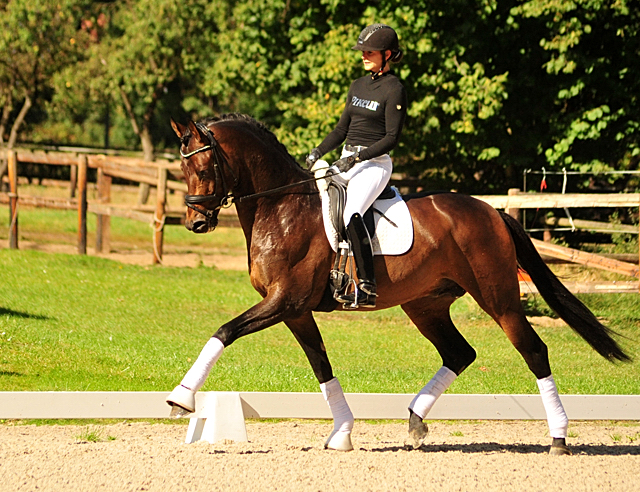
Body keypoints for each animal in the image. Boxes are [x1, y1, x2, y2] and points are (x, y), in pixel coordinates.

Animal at [166, 113, 632, 456]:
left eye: (204, 166)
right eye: (182, 167)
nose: (195, 223)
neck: (281, 207)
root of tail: (493, 212)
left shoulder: (285, 300)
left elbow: (224, 331)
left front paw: (182, 397)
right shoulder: (294, 310)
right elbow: (321, 366)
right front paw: (343, 433)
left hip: (498, 299)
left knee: (533, 350)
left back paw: (558, 438)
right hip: (425, 305)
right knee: (459, 353)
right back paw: (415, 421)